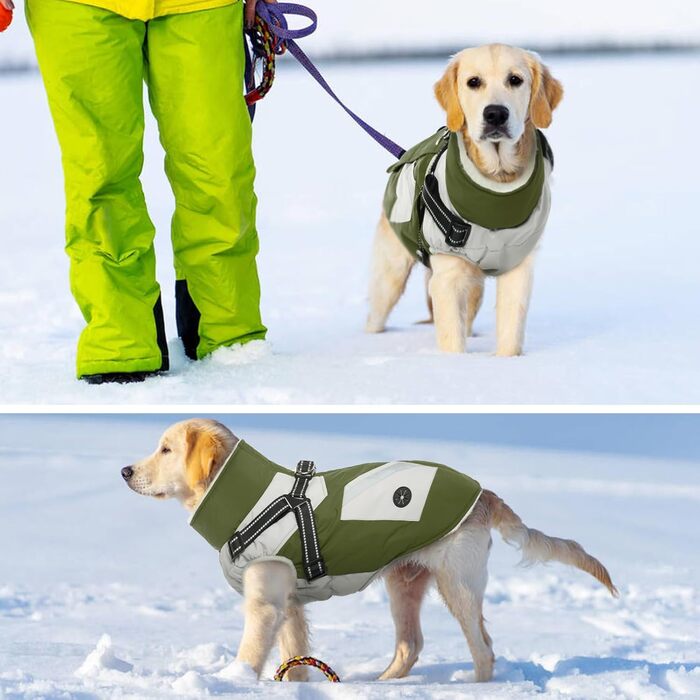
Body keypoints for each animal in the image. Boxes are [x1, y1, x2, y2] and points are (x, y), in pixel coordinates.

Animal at [123, 422, 616, 684]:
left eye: (165, 449)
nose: (126, 470)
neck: (252, 500)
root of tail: (483, 494)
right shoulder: (290, 603)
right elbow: (294, 657)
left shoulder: (265, 603)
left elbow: (250, 653)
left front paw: (234, 682)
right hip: (405, 582)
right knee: (411, 645)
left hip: (457, 583)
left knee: (484, 650)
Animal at [366, 45, 564, 356]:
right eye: (474, 82)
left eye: (515, 80)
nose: (495, 114)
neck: (497, 186)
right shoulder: (448, 274)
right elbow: (452, 338)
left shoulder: (518, 267)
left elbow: (511, 330)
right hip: (391, 273)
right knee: (376, 312)